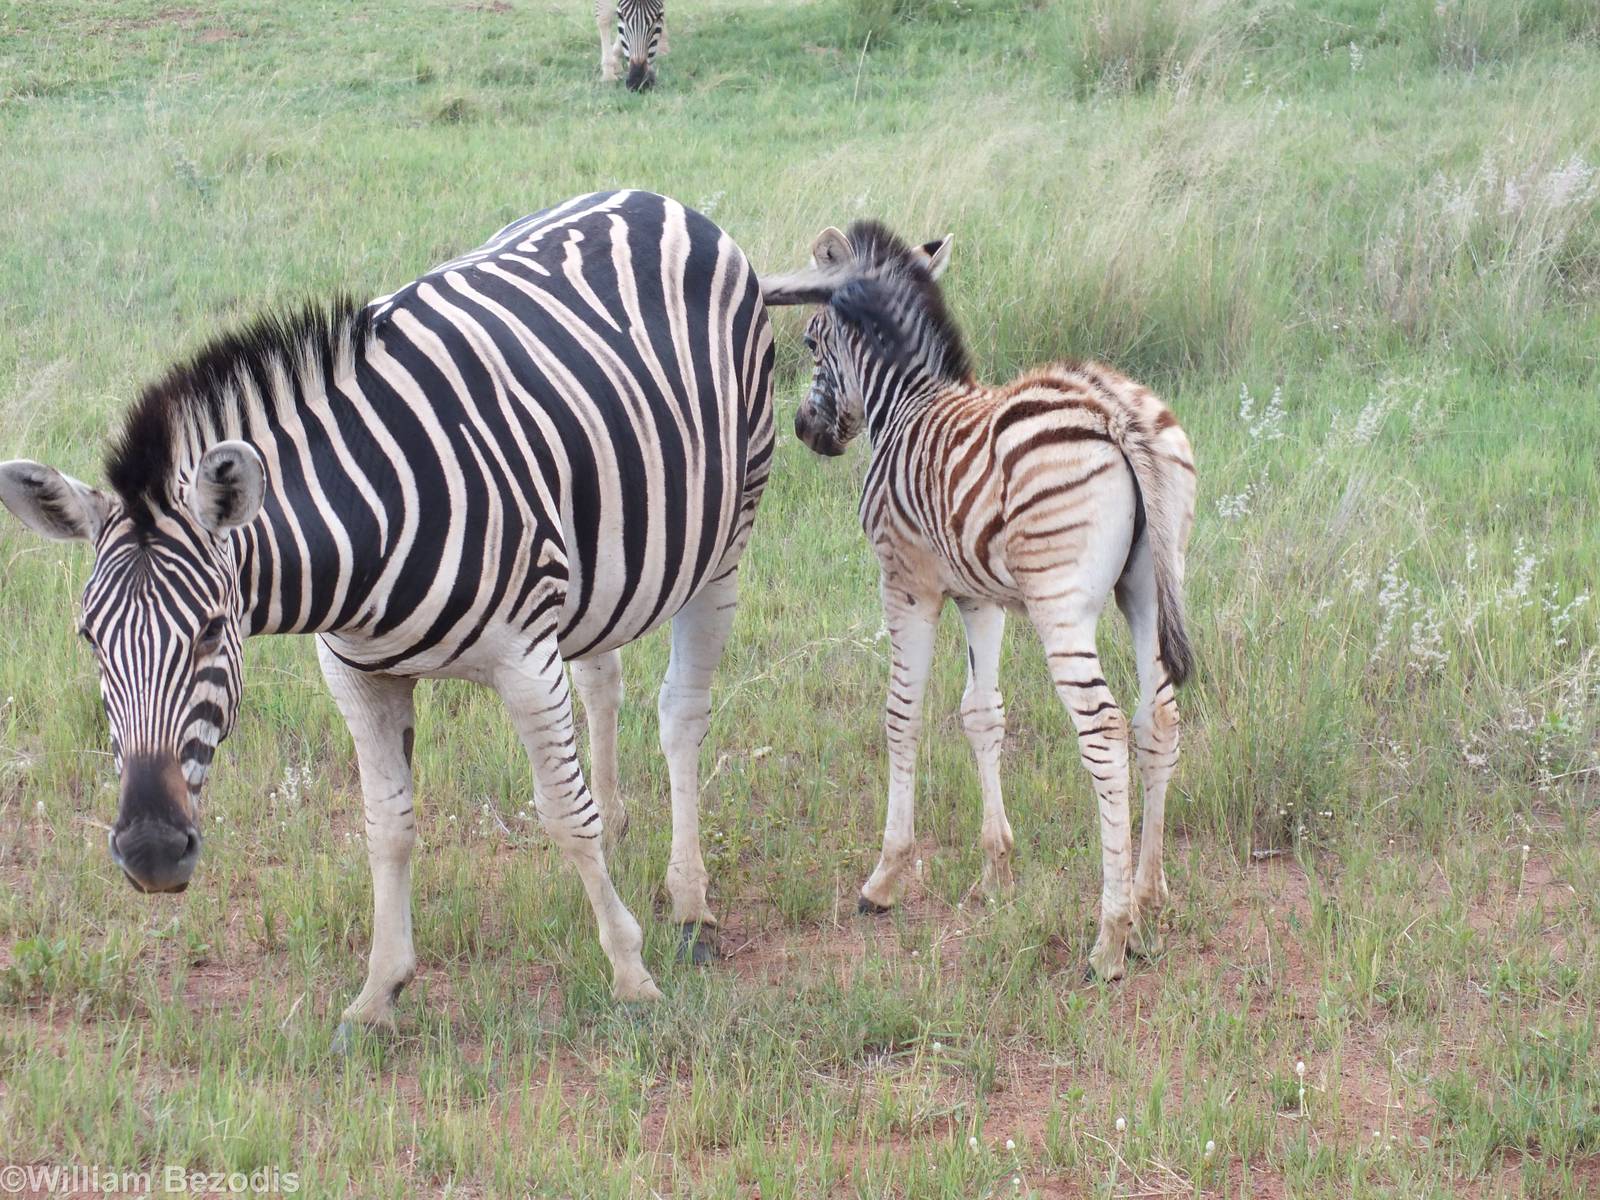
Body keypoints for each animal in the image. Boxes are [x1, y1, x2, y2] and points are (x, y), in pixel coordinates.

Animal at [0, 190, 774, 1037]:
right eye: (89, 640)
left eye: (209, 631)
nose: (149, 854)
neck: (365, 529)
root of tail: (649, 197)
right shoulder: (358, 677)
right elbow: (388, 826)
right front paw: (378, 995)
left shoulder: (525, 659)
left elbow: (563, 817)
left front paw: (630, 973)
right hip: (593, 569)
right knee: (604, 681)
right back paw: (623, 827)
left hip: (727, 537)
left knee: (681, 714)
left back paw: (689, 903)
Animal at [761, 221, 1196, 982]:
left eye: (812, 342)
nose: (806, 432)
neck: (906, 401)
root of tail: (1112, 408)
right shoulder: (978, 598)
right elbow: (981, 714)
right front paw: (996, 871)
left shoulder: (907, 584)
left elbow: (902, 716)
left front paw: (886, 876)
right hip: (1147, 588)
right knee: (1158, 718)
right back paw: (1148, 893)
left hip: (1061, 607)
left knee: (1104, 731)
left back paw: (1111, 936)